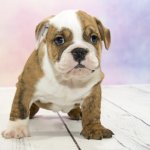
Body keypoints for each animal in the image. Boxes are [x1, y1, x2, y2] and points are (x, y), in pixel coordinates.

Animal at [1, 10, 113, 139]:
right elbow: (20, 107)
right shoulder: (25, 86)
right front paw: (16, 129)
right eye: (59, 40)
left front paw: (94, 128)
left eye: (94, 38)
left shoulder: (94, 90)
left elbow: (93, 110)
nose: (79, 51)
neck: (67, 80)